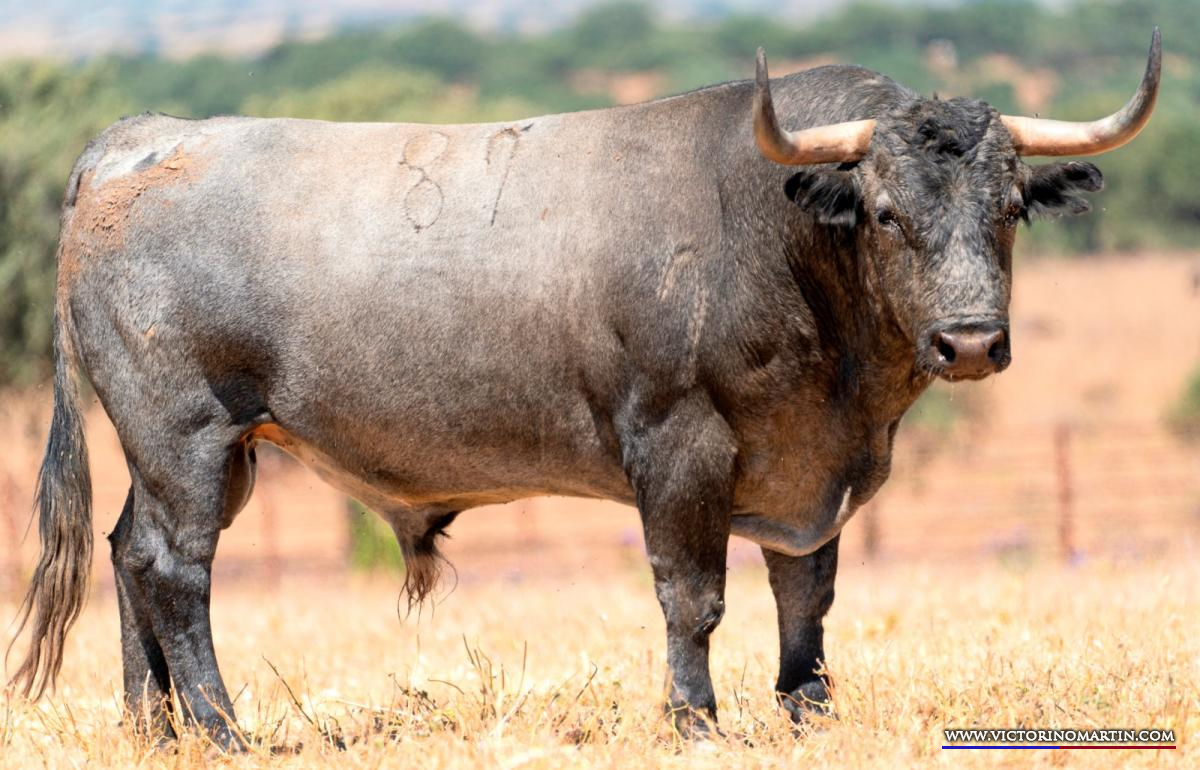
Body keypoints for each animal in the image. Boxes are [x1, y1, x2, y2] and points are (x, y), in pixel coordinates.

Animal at [9, 29, 1159, 747]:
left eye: (1010, 206)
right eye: (883, 211)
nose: (969, 342)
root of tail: (144, 137)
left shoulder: (810, 463)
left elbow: (807, 593)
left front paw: (807, 710)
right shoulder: (680, 446)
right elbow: (693, 595)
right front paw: (697, 720)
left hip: (201, 451)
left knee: (128, 553)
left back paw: (149, 725)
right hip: (187, 435)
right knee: (174, 568)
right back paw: (220, 726)